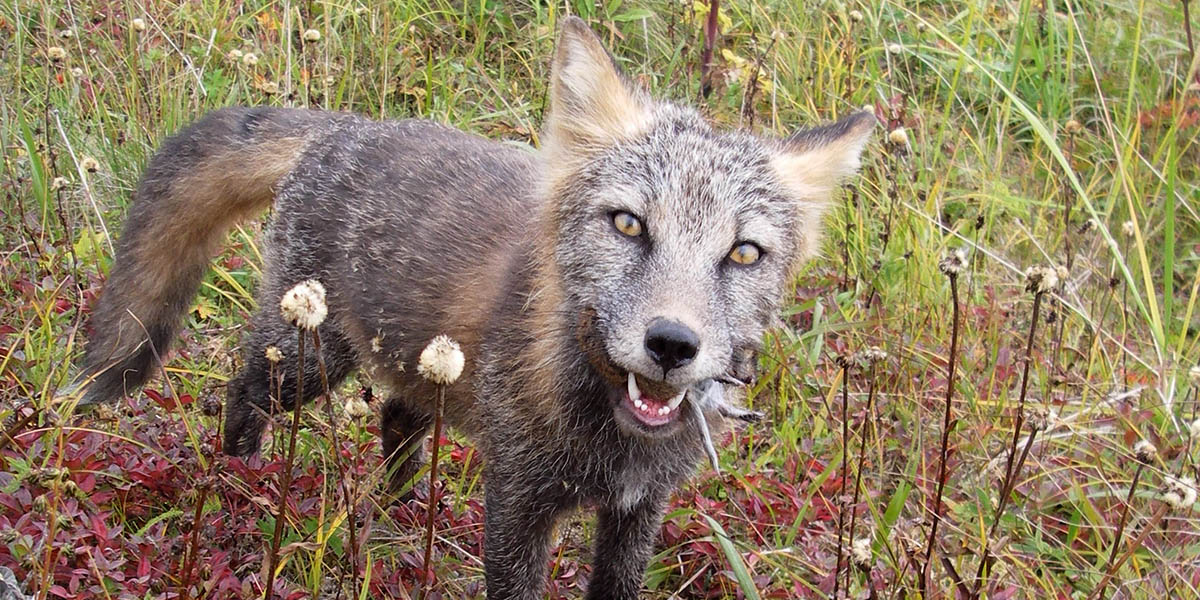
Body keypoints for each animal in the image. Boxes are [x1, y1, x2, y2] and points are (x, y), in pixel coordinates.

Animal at [79, 16, 878, 597]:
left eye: (742, 253)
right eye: (628, 224)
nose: (672, 343)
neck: (609, 440)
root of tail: (345, 127)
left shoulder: (638, 510)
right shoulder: (518, 497)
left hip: (418, 366)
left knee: (396, 418)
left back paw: (396, 521)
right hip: (306, 359)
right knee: (241, 393)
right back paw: (240, 488)